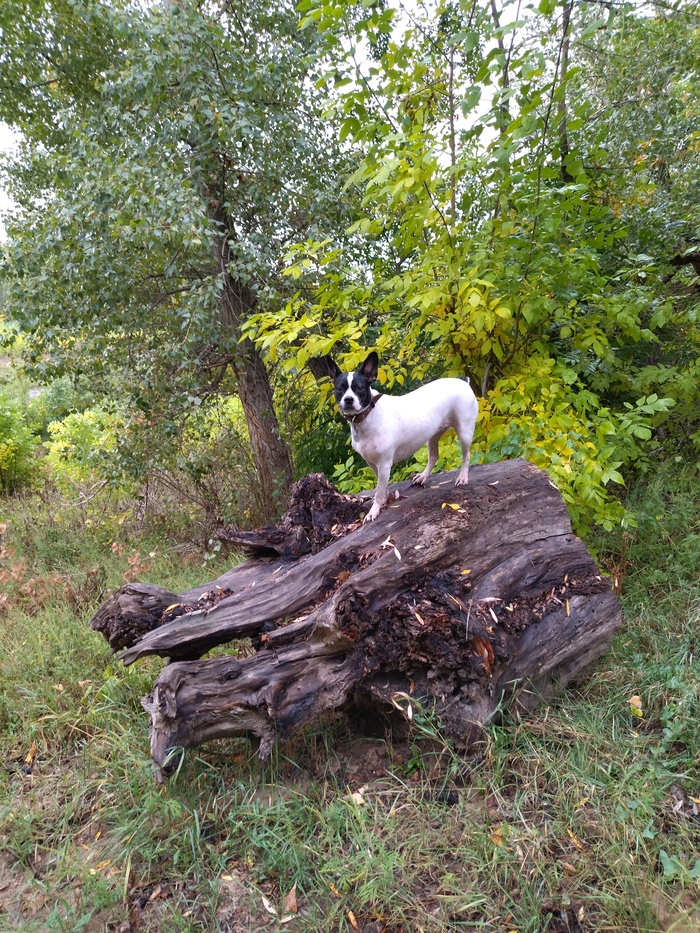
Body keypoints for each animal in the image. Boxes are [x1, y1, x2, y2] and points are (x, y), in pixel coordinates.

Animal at [324, 352, 478, 520]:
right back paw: (423, 476)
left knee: (466, 456)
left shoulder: (384, 464)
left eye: (359, 388)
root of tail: (463, 381)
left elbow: (378, 491)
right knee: (434, 456)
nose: (348, 399)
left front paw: (374, 510)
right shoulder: (373, 463)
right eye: (339, 389)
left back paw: (462, 477)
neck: (369, 414)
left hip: (464, 432)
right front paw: (384, 499)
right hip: (432, 434)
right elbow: (381, 486)